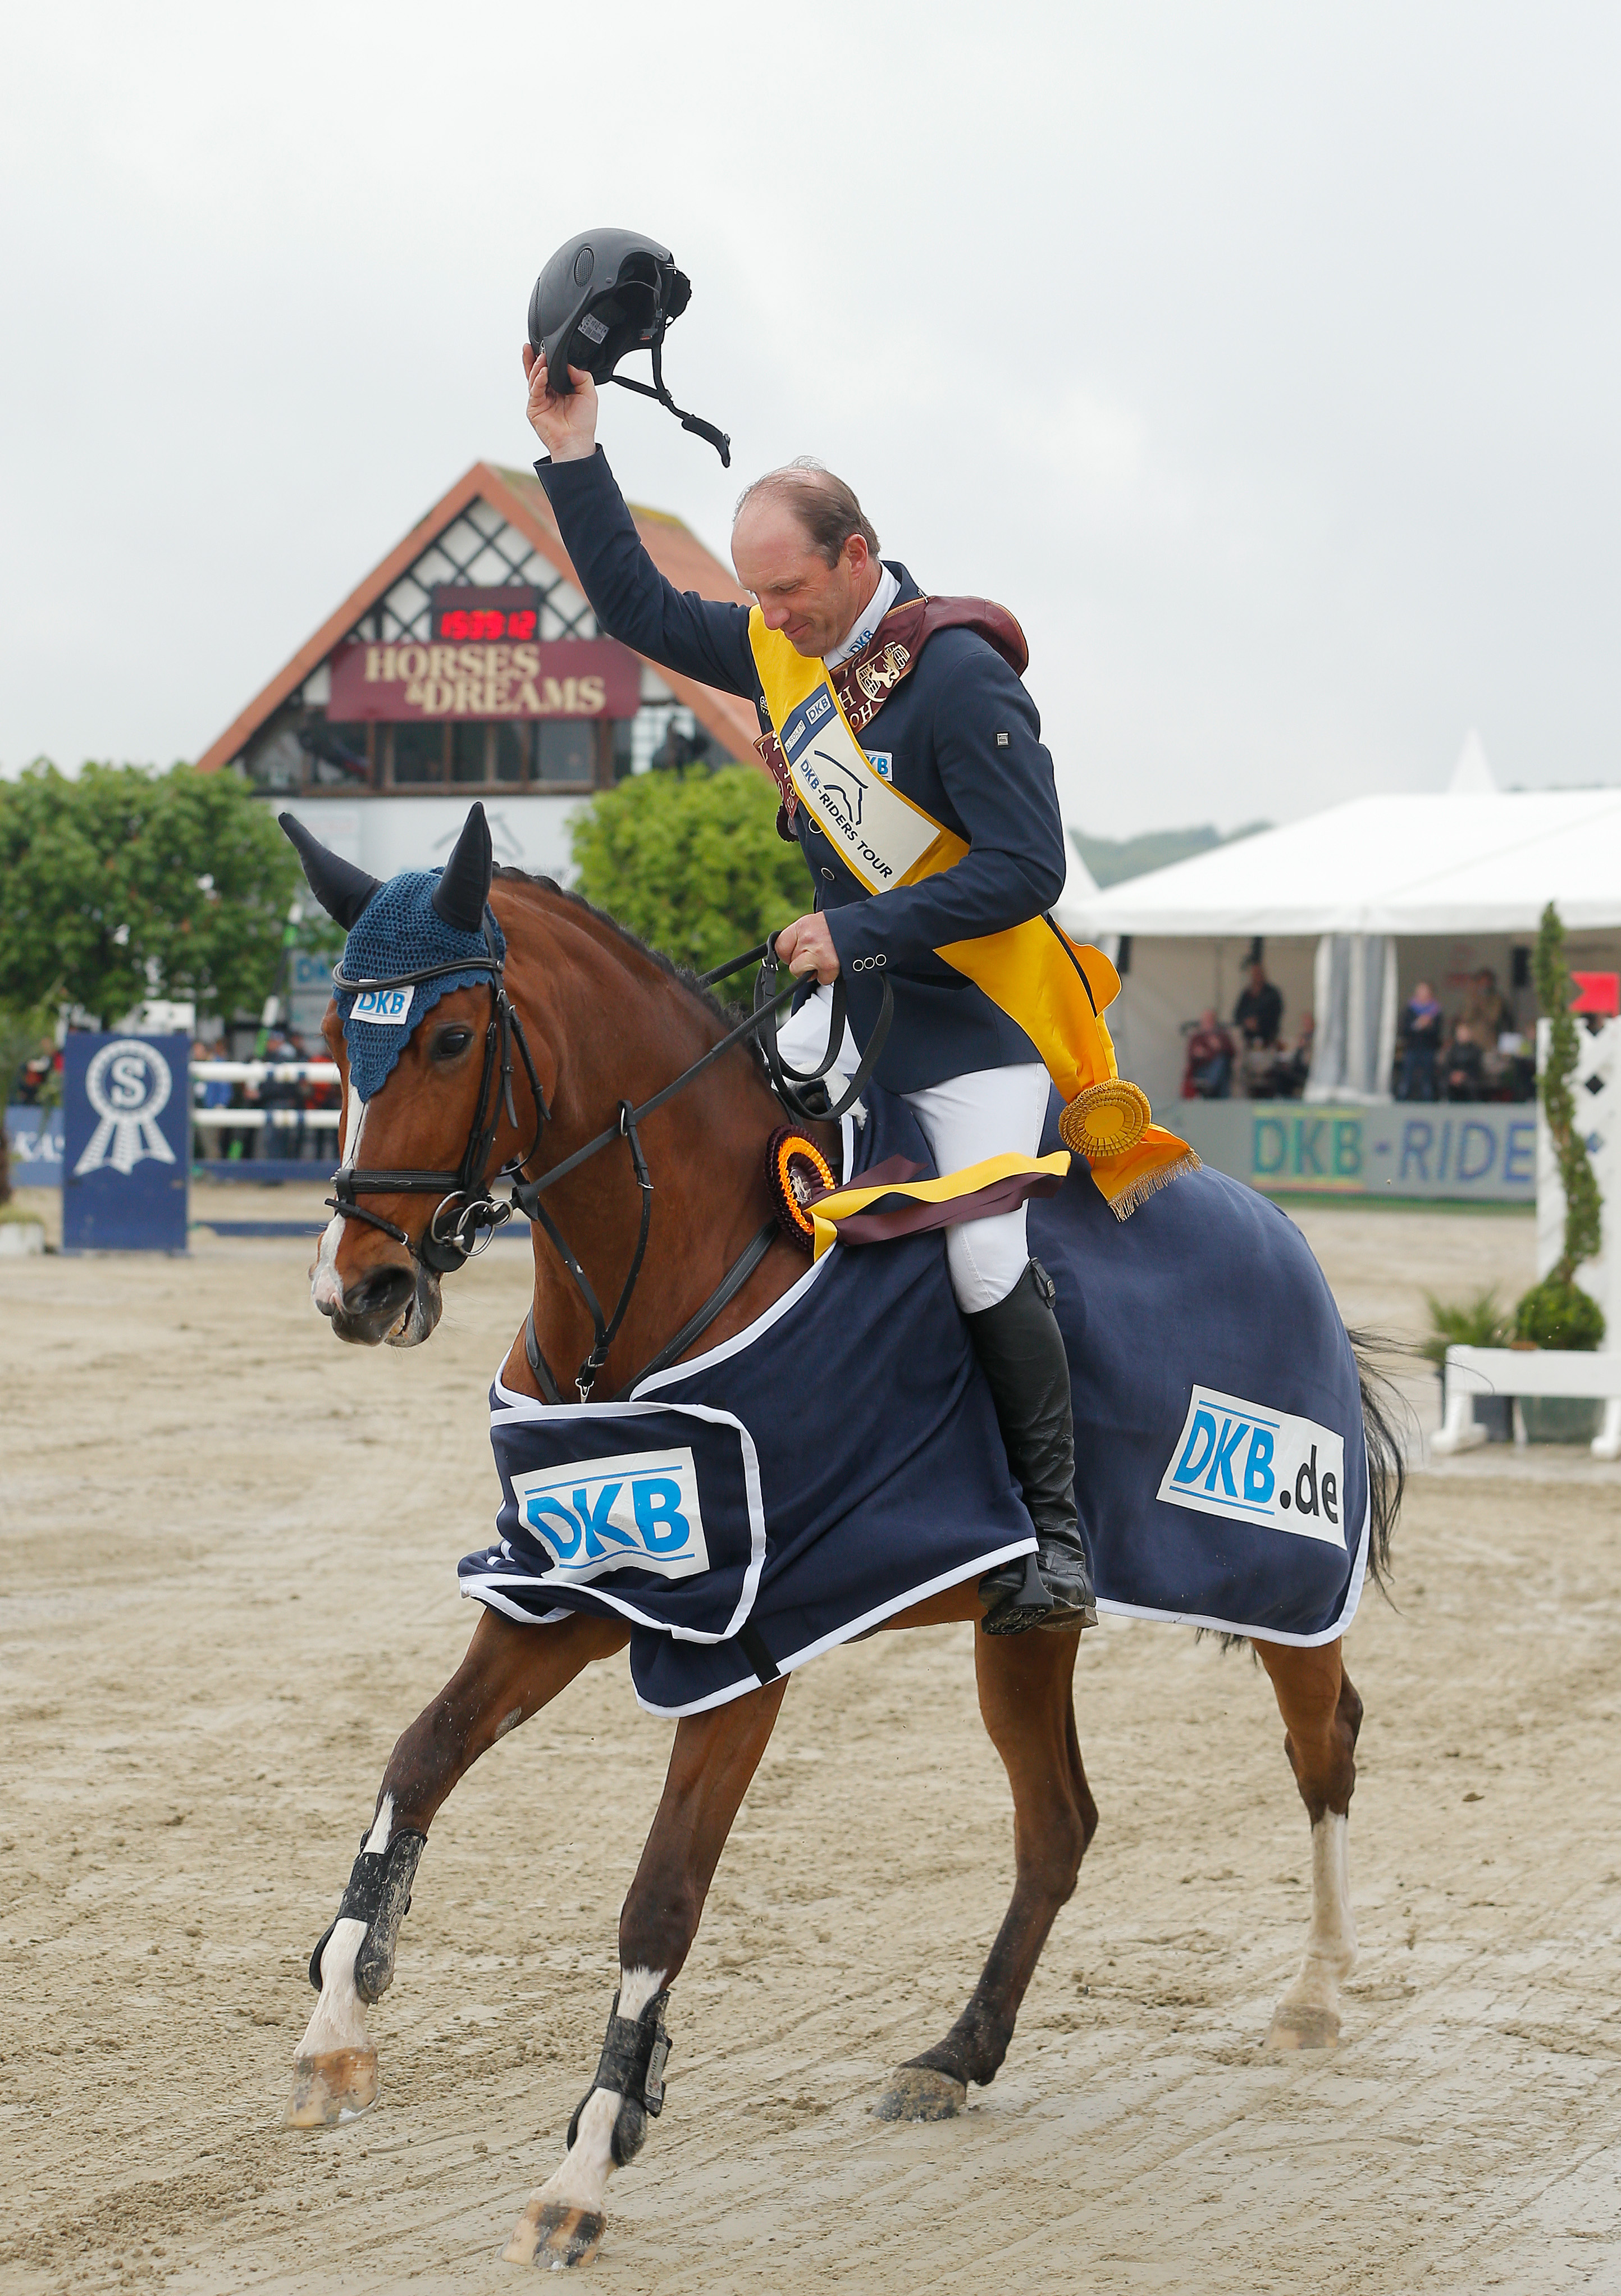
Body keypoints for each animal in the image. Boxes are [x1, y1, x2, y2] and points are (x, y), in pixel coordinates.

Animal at [285, 817, 1396, 2268]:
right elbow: (416, 1761)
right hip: (1022, 1632)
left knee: (1324, 1750)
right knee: (1059, 1823)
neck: (668, 1274)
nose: (357, 1290)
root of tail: (1284, 1233)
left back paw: (1314, 1998)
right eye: (332, 1033)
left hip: (1281, 1580)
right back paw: (959, 2054)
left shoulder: (742, 1641)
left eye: (452, 1040)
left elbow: (661, 1894)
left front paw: (587, 2165)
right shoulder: (576, 1590)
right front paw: (336, 2026)